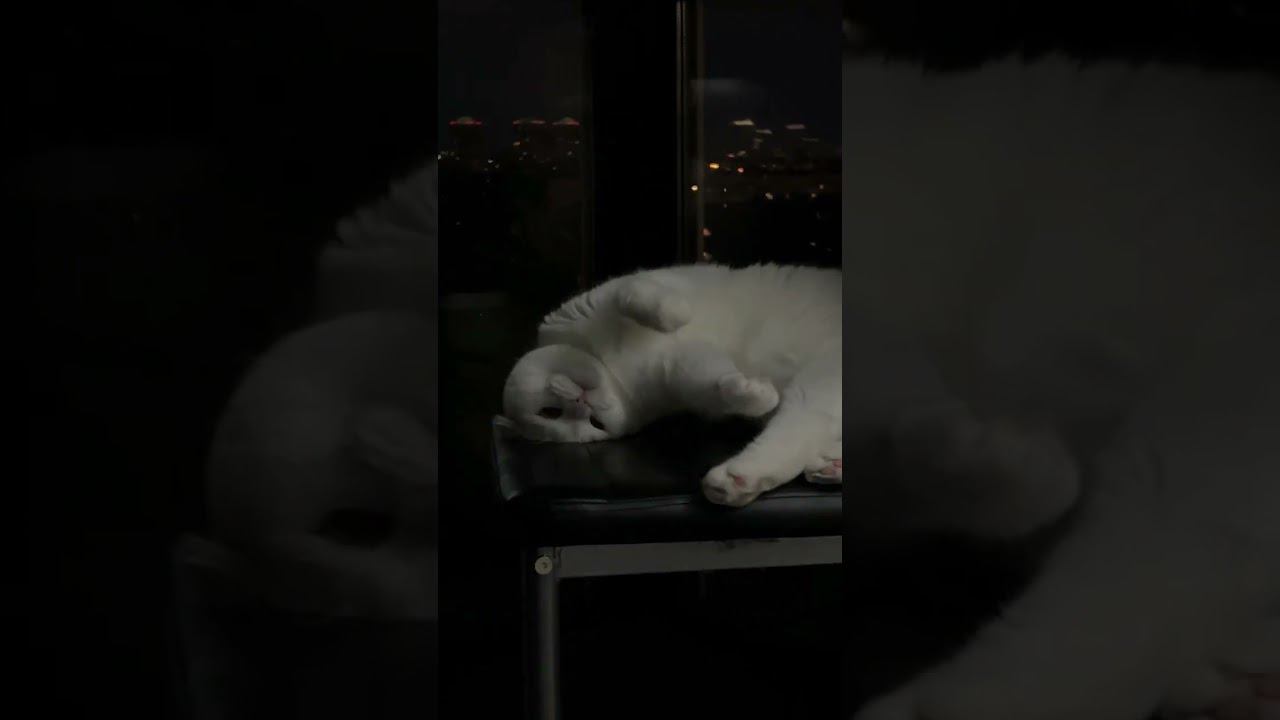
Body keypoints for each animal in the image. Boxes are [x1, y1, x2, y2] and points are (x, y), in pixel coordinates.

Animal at [499, 263, 843, 507]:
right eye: (593, 424)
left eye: (548, 411)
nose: (581, 403)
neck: (613, 370)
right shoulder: (682, 372)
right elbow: (717, 381)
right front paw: (754, 393)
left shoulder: (630, 290)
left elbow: (643, 298)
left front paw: (676, 315)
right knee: (799, 433)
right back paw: (751, 480)